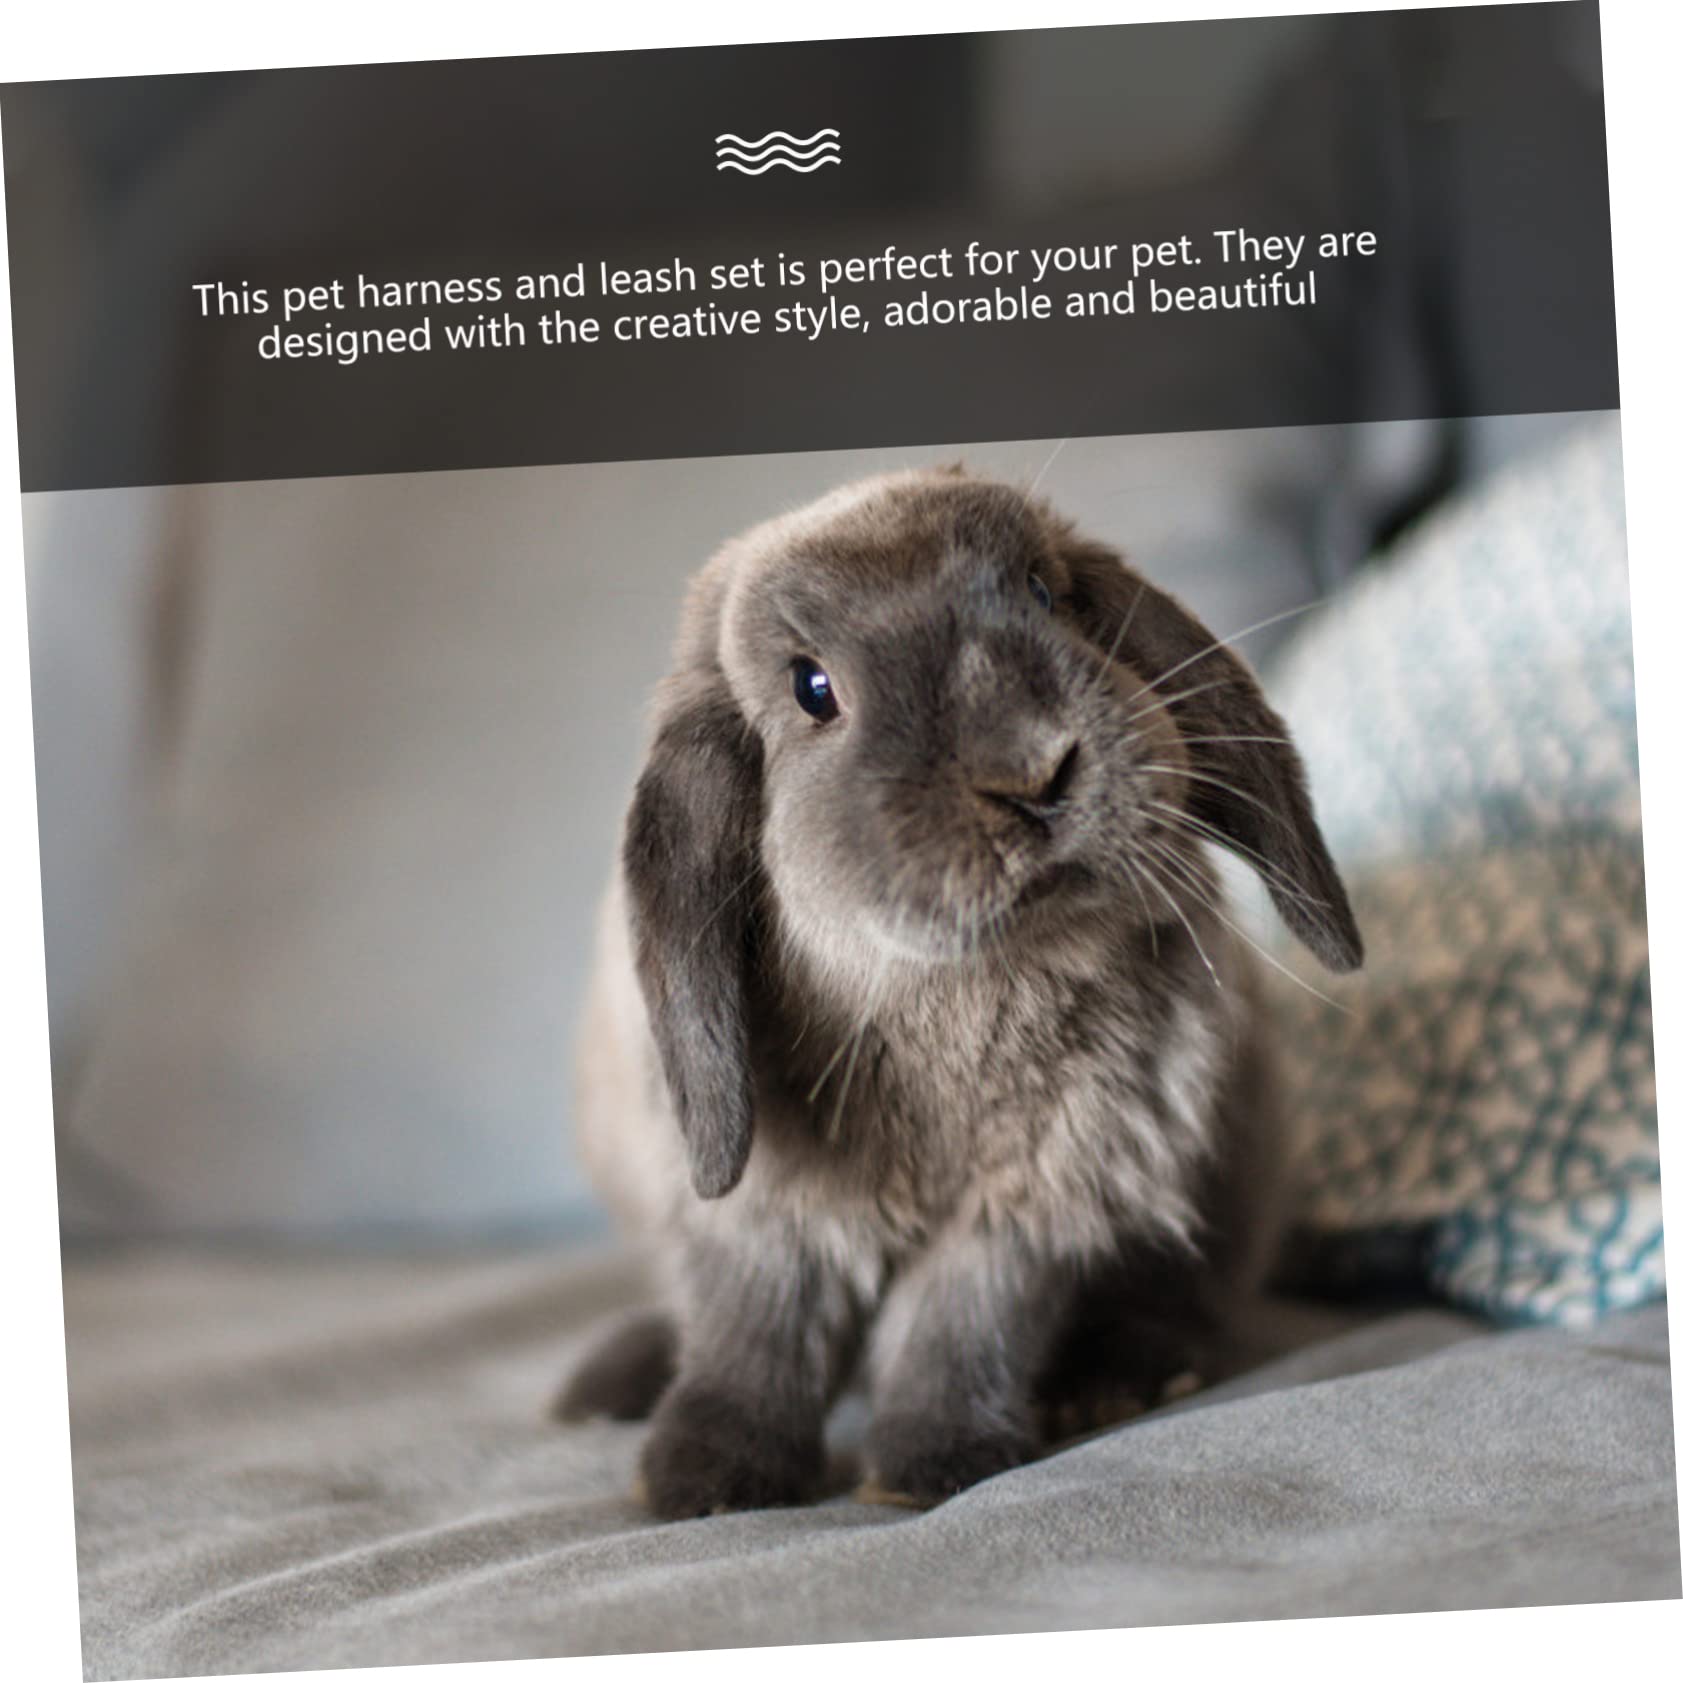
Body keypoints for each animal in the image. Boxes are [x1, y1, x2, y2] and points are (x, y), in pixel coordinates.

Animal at [556, 466, 1362, 1519]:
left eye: (1044, 592)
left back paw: (1119, 1379)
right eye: (811, 688)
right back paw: (608, 1383)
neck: (959, 991)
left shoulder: (1034, 1198)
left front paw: (929, 1467)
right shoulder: (763, 1212)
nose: (1031, 771)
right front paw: (703, 1479)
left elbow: (960, 1322)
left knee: (1185, 1298)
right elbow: (756, 1326)